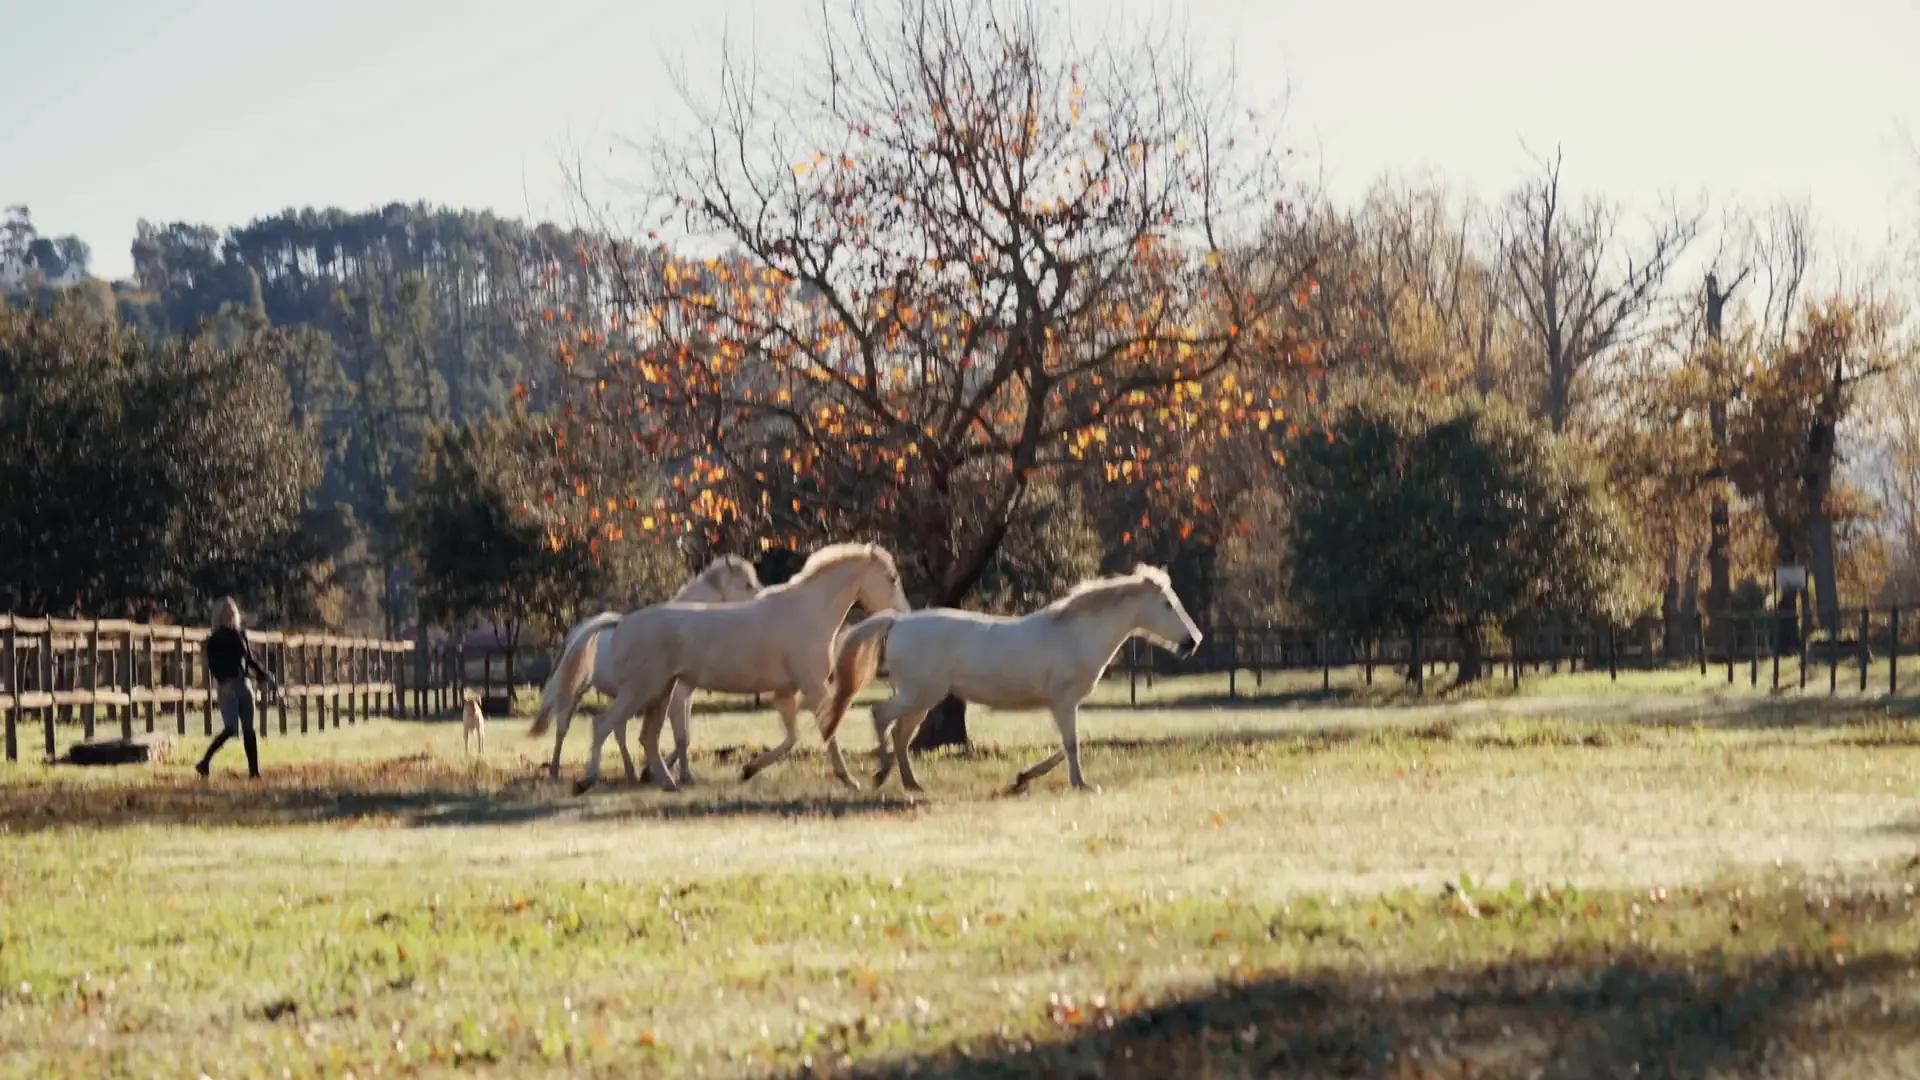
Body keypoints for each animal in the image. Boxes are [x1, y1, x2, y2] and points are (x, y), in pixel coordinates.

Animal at [529, 555, 763, 784]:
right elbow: (680, 737)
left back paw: (630, 772)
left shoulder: (685, 696)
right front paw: (671, 773)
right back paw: (555, 770)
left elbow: (684, 737)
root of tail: (578, 630)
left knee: (617, 729)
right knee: (563, 727)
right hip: (580, 692)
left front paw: (669, 772)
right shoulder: (676, 697)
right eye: (747, 585)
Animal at [553, 542, 911, 795]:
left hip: (661, 692)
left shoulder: (787, 693)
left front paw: (748, 769)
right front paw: (851, 780)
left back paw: (668, 782)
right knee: (603, 725)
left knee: (646, 737)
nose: (906, 614)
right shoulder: (814, 688)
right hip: (641, 691)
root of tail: (621, 623)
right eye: (892, 578)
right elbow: (828, 731)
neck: (806, 612)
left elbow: (791, 738)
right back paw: (586, 781)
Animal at [821, 565, 1202, 794]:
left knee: (900, 734)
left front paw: (1023, 779)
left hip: (923, 699)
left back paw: (912, 784)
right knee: (881, 717)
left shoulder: (1062, 705)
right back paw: (879, 775)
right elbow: (1071, 744)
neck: (1076, 635)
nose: (1192, 642)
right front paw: (1081, 784)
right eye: (1167, 604)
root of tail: (897, 623)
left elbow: (1067, 746)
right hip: (919, 694)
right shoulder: (1064, 702)